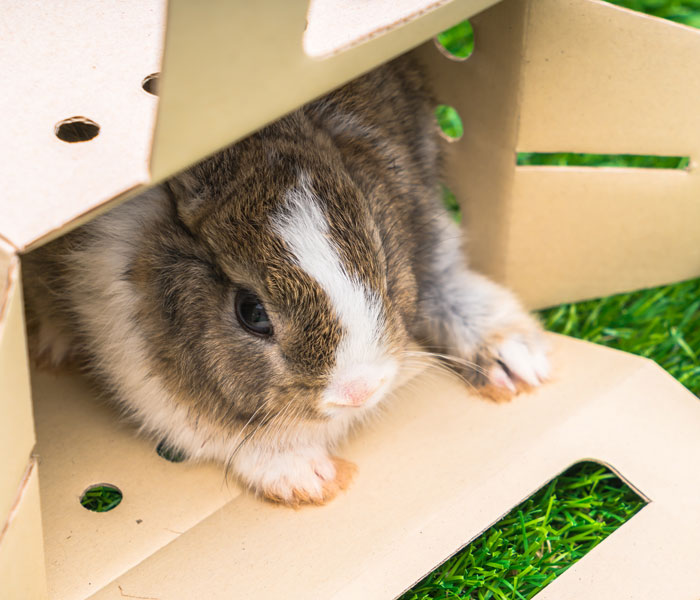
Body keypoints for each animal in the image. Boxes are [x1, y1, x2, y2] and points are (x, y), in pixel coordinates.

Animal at [23, 55, 549, 506]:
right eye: (251, 312)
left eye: (379, 246)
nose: (359, 391)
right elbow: (217, 434)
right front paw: (310, 478)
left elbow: (445, 280)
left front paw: (522, 362)